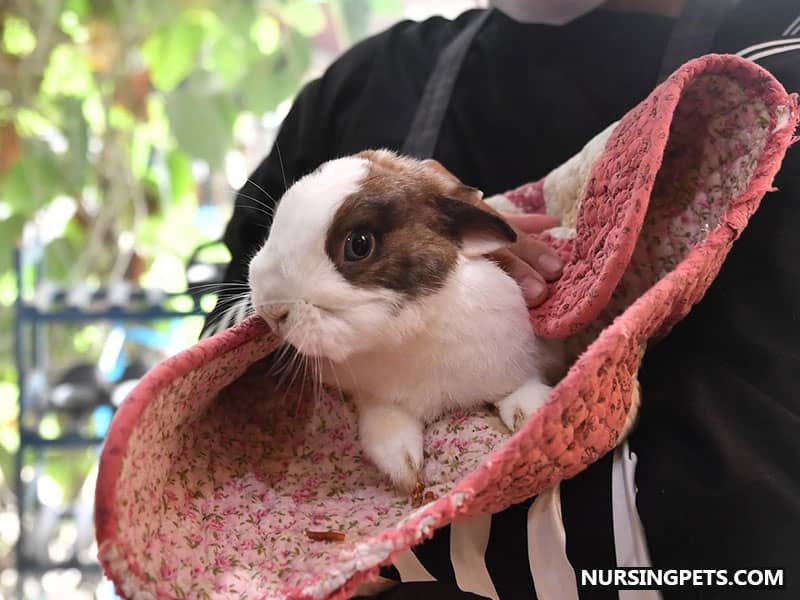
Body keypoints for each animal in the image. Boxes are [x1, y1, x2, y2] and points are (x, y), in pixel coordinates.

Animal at [250, 149, 564, 492]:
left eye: (359, 244)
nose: (272, 311)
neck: (404, 339)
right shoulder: (376, 396)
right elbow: (387, 426)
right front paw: (404, 468)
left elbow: (521, 386)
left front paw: (531, 415)